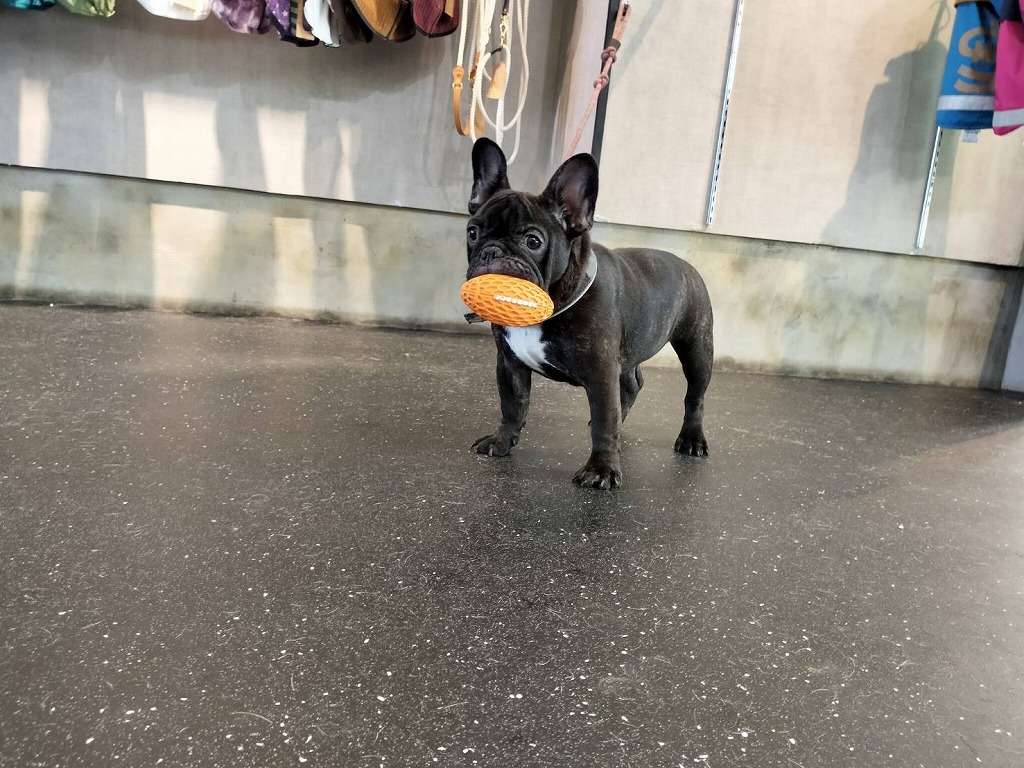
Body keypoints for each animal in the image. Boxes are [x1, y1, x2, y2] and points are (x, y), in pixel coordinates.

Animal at [465, 138, 713, 489]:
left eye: (532, 241)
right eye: (473, 233)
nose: (490, 252)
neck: (553, 304)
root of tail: (687, 265)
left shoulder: (600, 372)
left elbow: (604, 422)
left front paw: (601, 470)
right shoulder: (510, 363)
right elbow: (512, 406)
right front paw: (501, 442)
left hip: (697, 347)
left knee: (694, 395)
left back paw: (691, 438)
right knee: (632, 384)